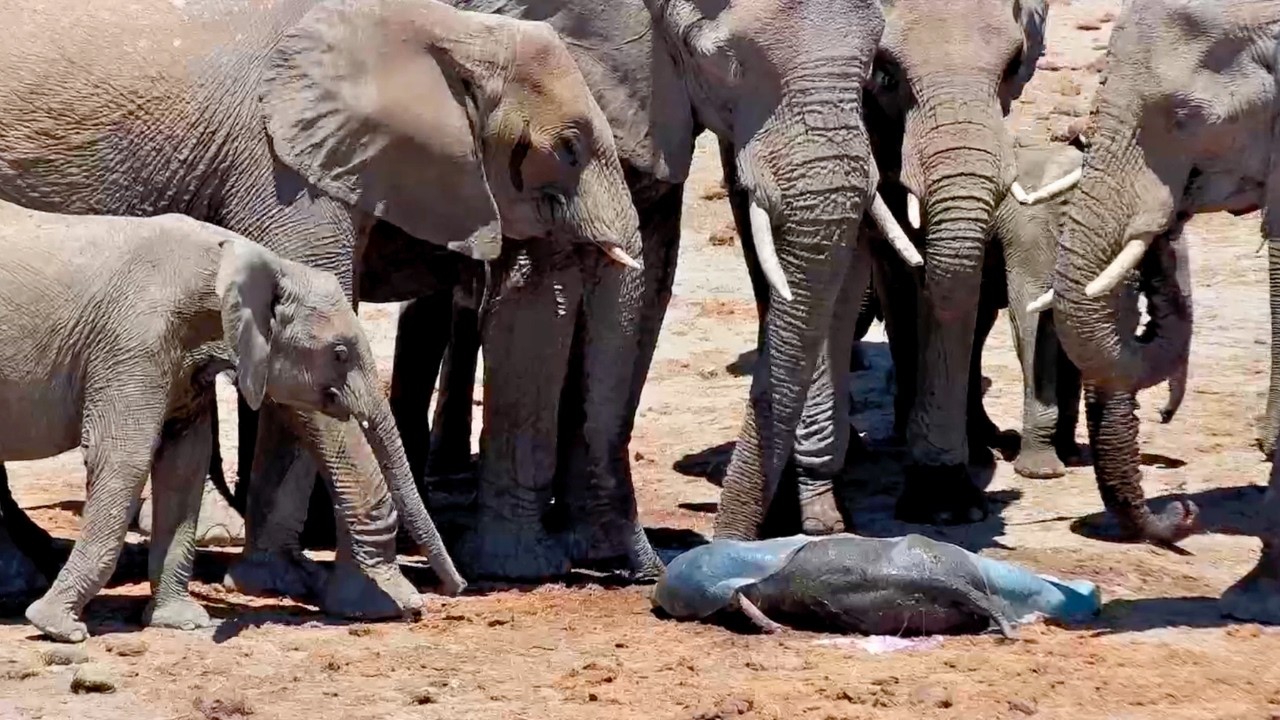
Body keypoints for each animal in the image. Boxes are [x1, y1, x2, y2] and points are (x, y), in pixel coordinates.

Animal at [0, 202, 463, 642]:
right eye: (339, 353)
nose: (451, 591)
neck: (242, 261)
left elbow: (184, 463)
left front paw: (181, 623)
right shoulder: (132, 342)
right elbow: (121, 458)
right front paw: (57, 628)